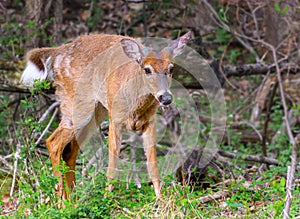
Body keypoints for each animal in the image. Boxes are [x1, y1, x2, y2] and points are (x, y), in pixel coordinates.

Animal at [20, 31, 190, 200]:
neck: (136, 107)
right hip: (76, 105)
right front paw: (107, 198)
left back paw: (73, 199)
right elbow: (112, 162)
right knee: (53, 142)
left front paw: (160, 199)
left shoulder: (149, 121)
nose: (165, 98)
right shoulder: (115, 118)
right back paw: (62, 200)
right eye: (147, 69)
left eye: (171, 68)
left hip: (96, 111)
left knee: (70, 149)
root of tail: (59, 51)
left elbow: (153, 165)